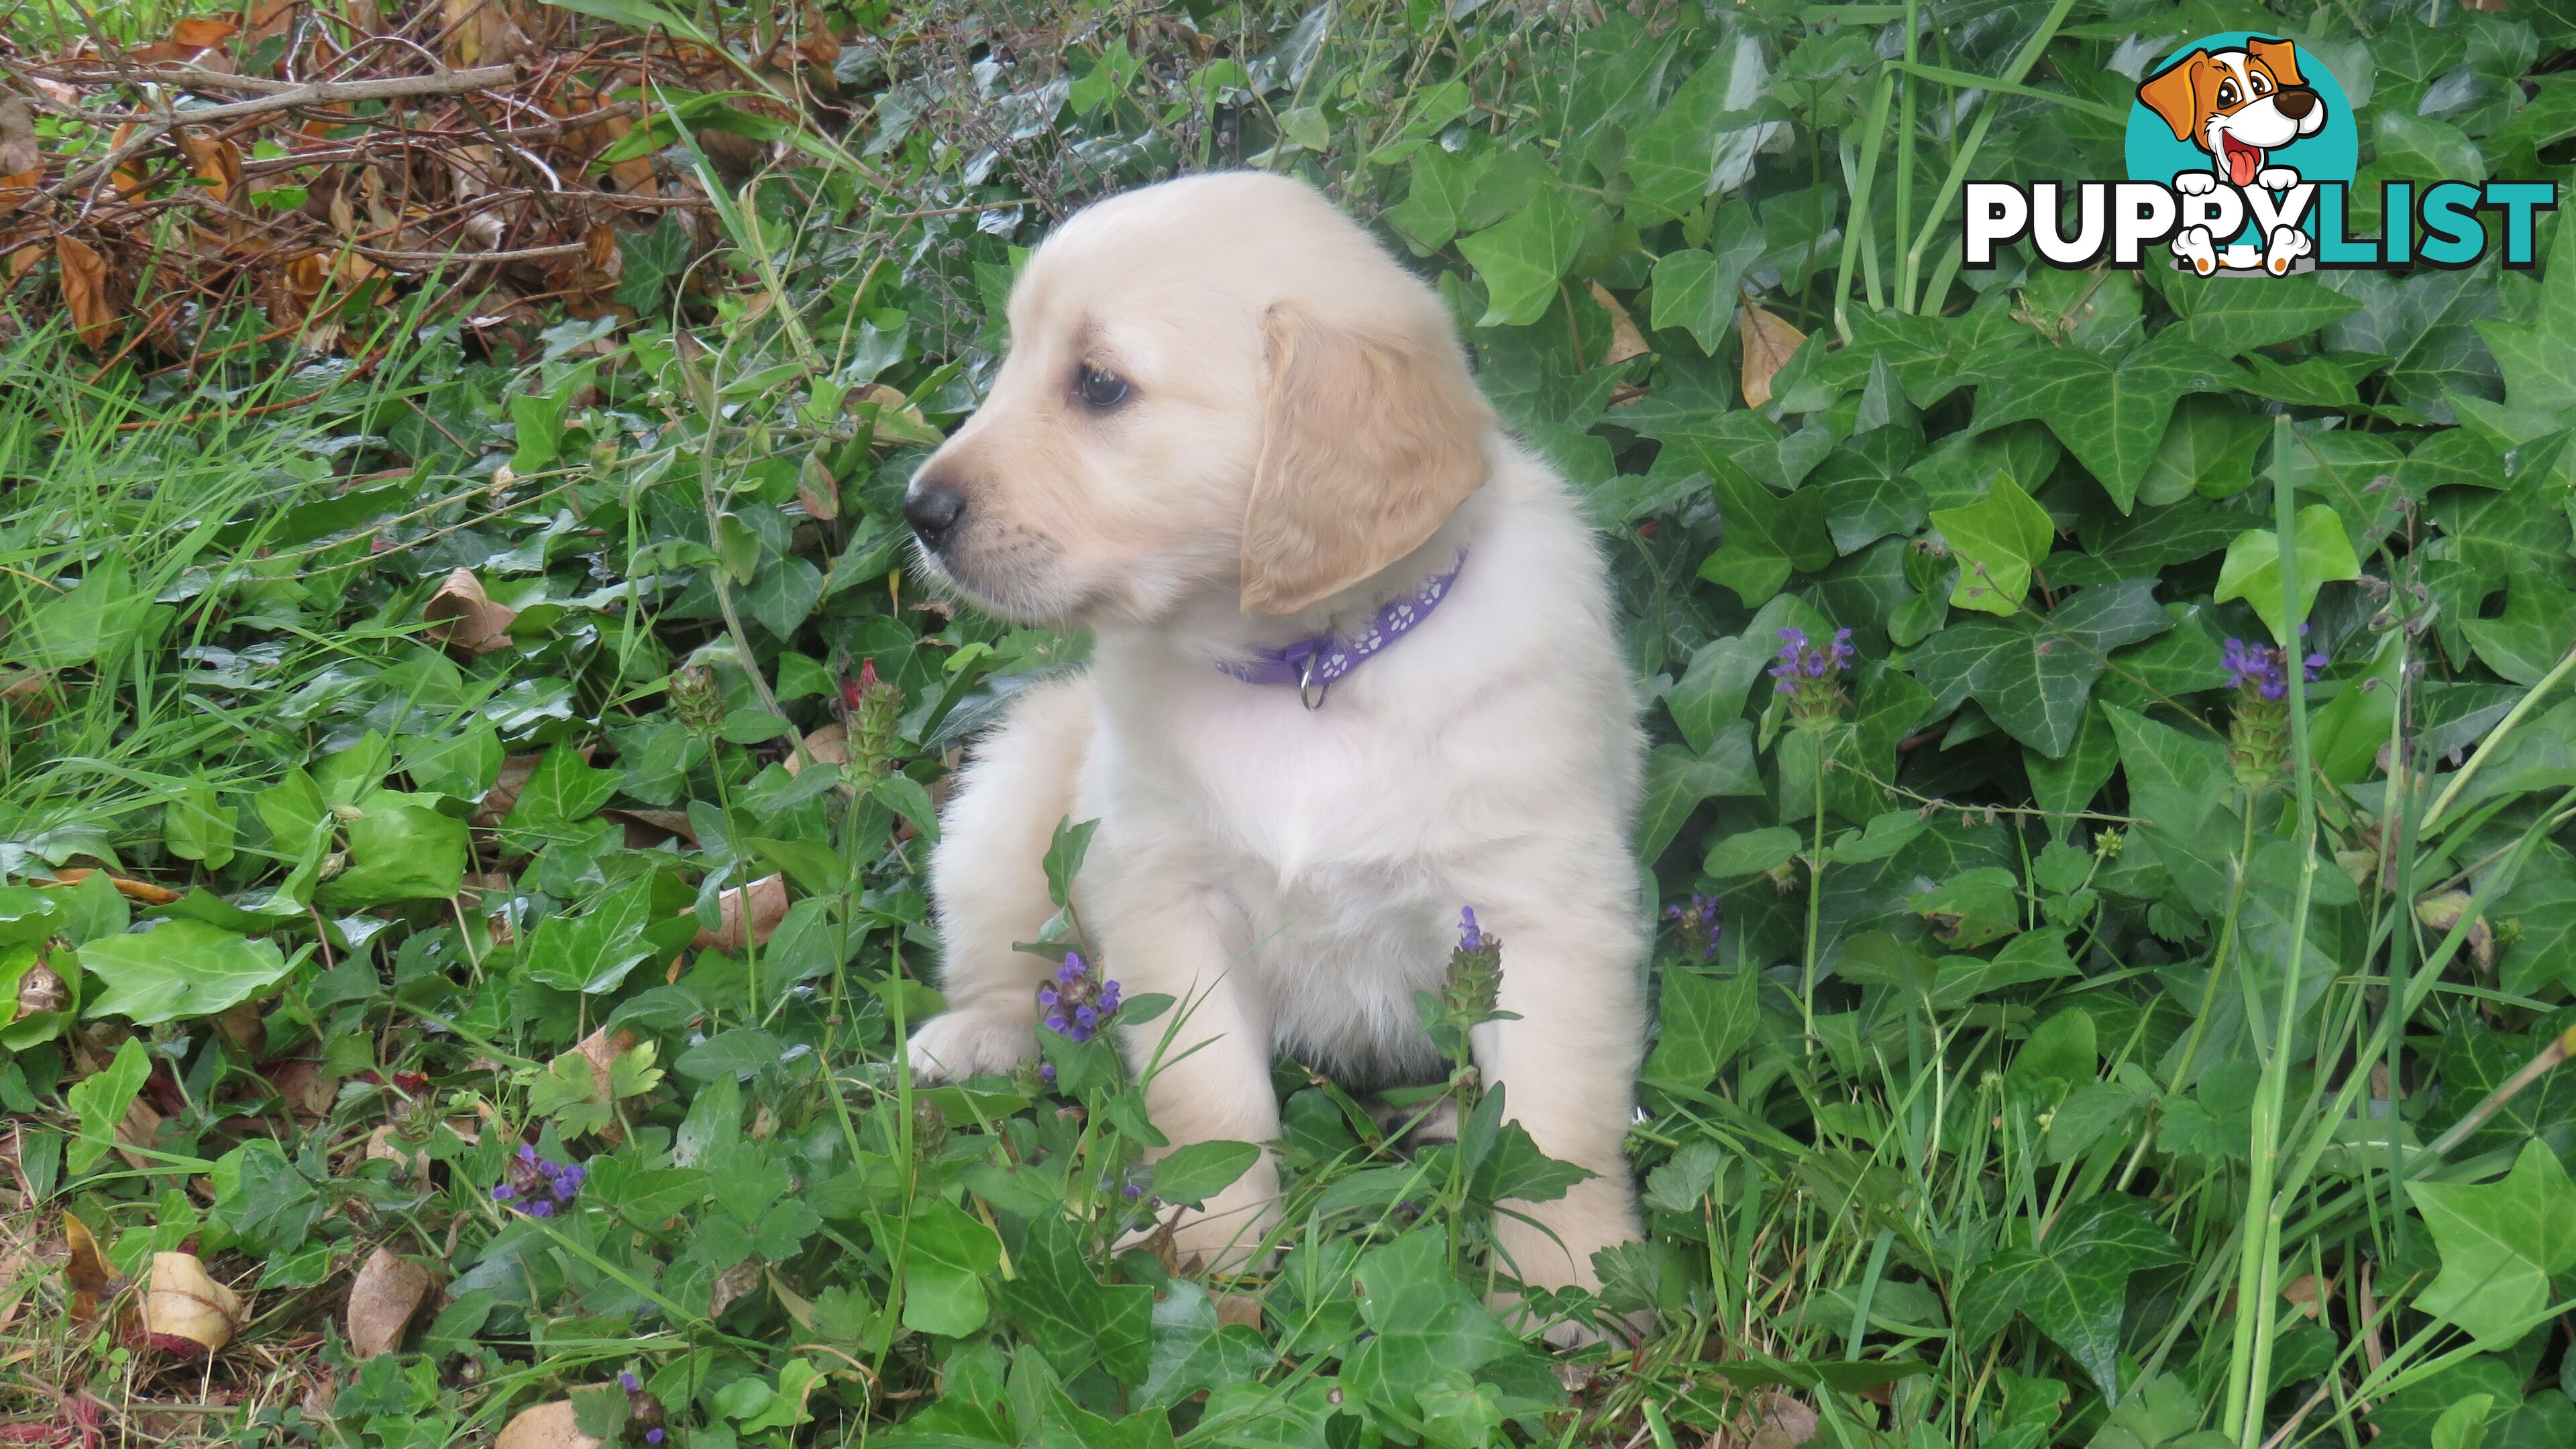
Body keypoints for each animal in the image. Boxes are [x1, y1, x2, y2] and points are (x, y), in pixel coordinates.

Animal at [896, 166, 1638, 1309]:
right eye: (1011, 359)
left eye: (1099, 385)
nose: (918, 510)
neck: (1311, 674)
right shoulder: (1167, 894)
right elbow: (1209, 1101)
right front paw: (1209, 1258)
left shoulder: (1541, 910)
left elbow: (1555, 1127)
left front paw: (1567, 1286)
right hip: (1008, 803)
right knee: (1008, 956)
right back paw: (979, 1036)